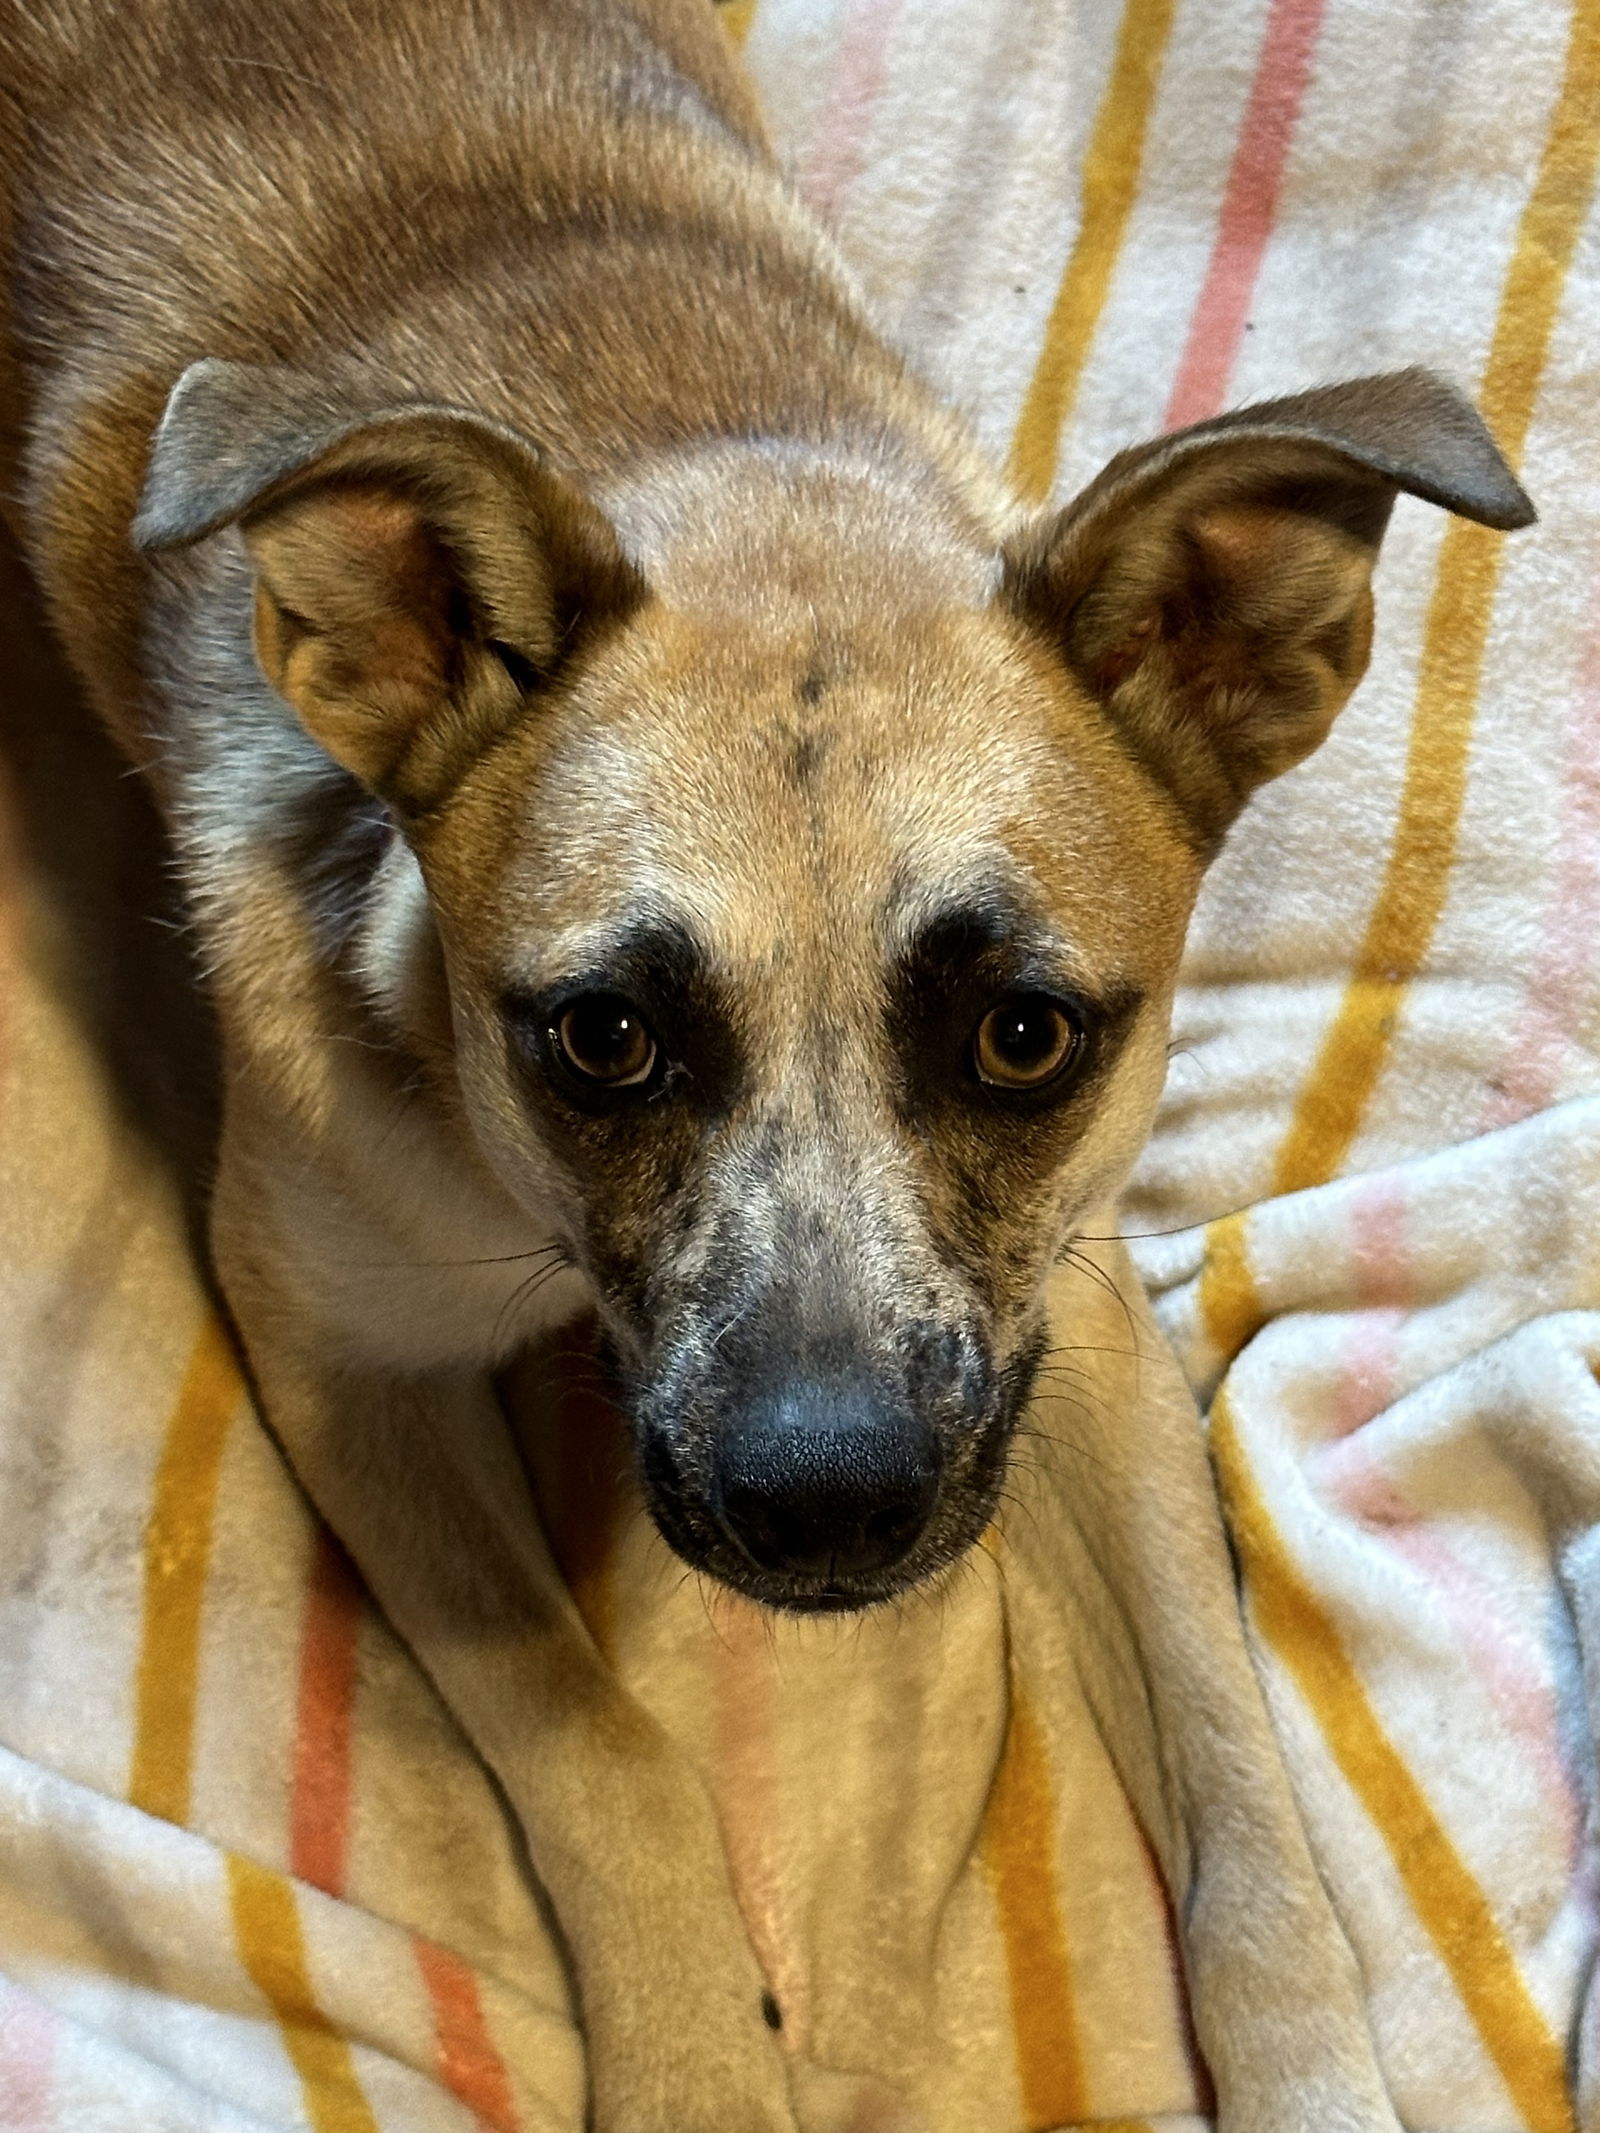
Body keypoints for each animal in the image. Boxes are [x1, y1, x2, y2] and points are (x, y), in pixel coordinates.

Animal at [0, 4, 1536, 2133]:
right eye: (605, 1035)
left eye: (1023, 1030)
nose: (829, 1508)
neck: (714, 456)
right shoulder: (330, 1343)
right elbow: (603, 1746)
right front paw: (698, 2068)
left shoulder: (1075, 1327)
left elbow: (1245, 1800)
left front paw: (1315, 2072)